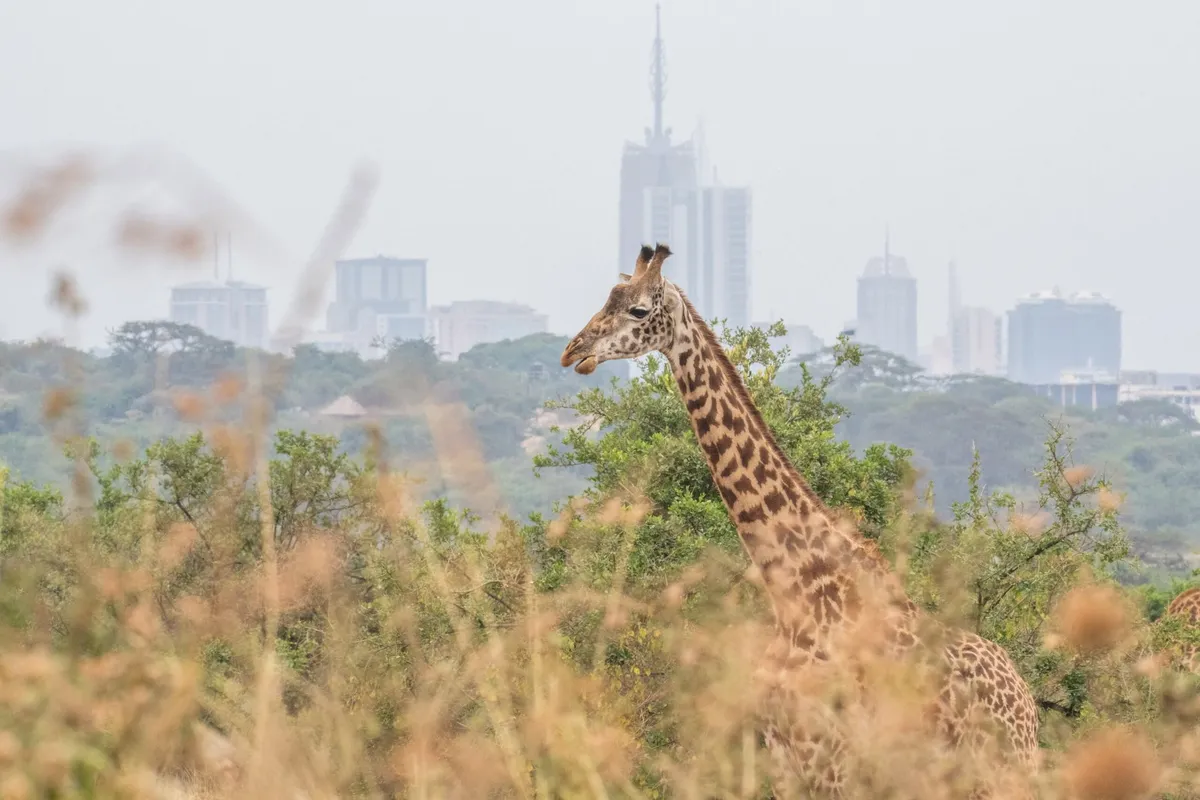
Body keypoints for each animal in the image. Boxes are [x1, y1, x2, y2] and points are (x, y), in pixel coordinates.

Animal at [561, 244, 1040, 797]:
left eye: (638, 310)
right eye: (608, 298)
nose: (573, 351)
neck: (797, 595)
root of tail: (1027, 705)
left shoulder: (834, 763)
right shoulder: (785, 760)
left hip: (999, 773)